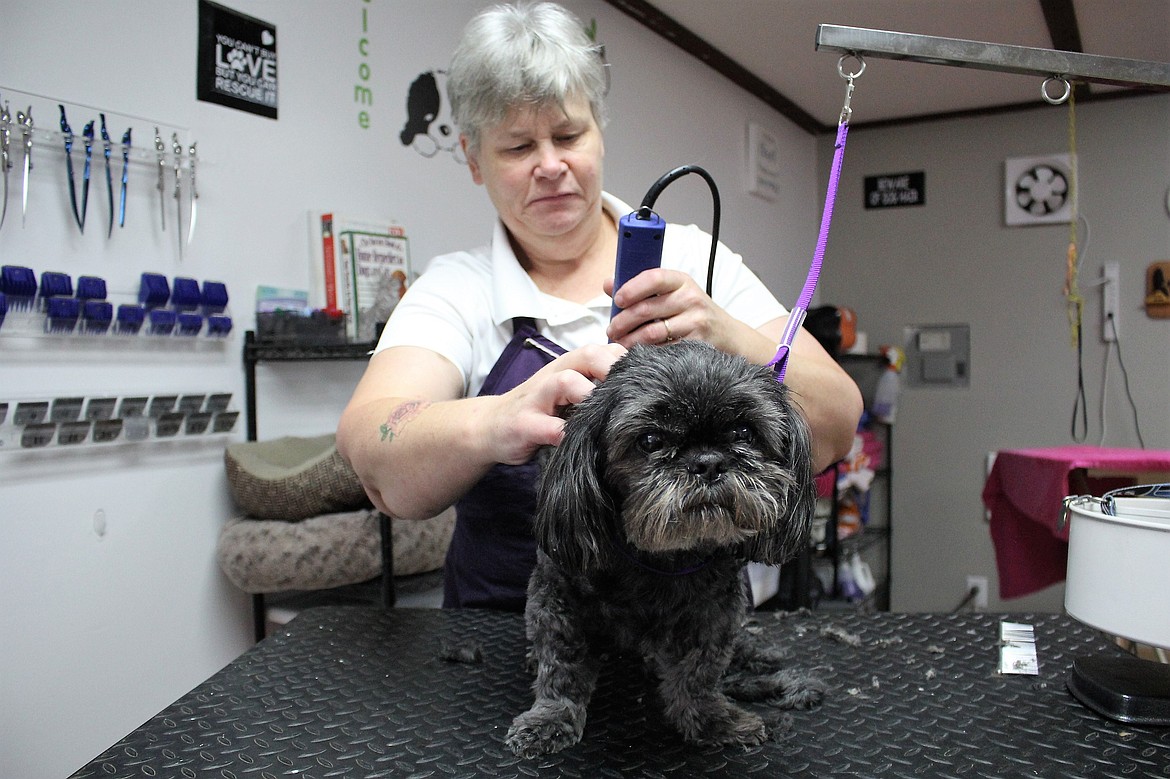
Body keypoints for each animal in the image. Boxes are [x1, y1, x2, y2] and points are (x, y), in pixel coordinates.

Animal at [505, 339, 823, 753]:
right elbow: (562, 664)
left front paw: (710, 718)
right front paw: (551, 717)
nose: (708, 463)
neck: (663, 557)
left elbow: (700, 670)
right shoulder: (558, 595)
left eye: (744, 432)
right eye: (651, 441)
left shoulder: (716, 609)